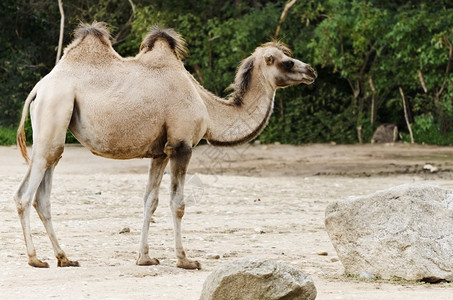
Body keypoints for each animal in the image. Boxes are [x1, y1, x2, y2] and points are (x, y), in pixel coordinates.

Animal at [15, 21, 318, 270]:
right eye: (286, 62)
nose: (311, 71)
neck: (207, 107)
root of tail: (39, 88)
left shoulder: (160, 152)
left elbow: (150, 201)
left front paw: (145, 258)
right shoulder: (182, 145)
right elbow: (178, 203)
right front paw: (186, 260)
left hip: (55, 129)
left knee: (44, 193)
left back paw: (64, 258)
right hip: (54, 109)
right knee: (25, 194)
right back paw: (35, 259)